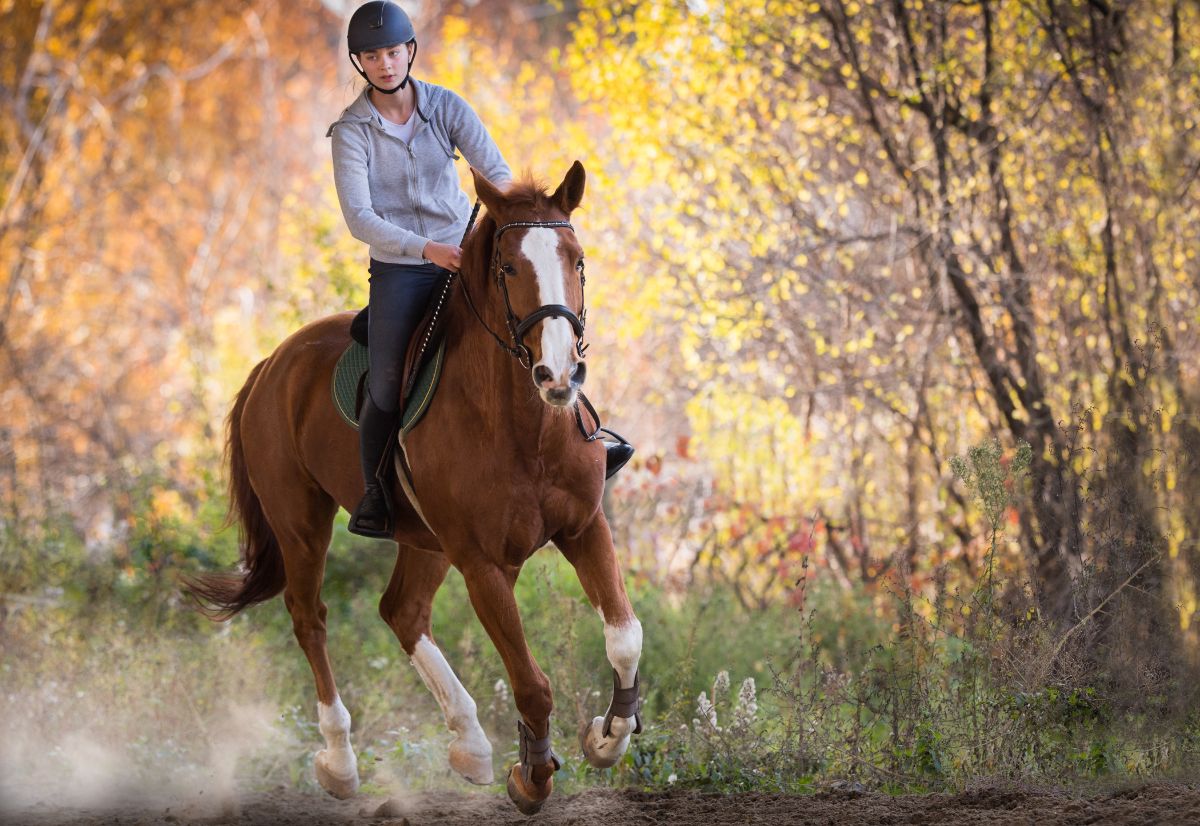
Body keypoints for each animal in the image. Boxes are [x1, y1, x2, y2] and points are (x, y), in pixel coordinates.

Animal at [183, 160, 643, 811]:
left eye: (577, 260)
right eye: (508, 268)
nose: (559, 375)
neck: (524, 426)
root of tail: (272, 363)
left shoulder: (583, 528)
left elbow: (625, 639)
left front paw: (606, 739)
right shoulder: (482, 564)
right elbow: (531, 683)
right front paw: (531, 776)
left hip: (424, 540)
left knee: (401, 611)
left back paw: (469, 745)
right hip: (301, 523)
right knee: (309, 617)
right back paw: (341, 761)